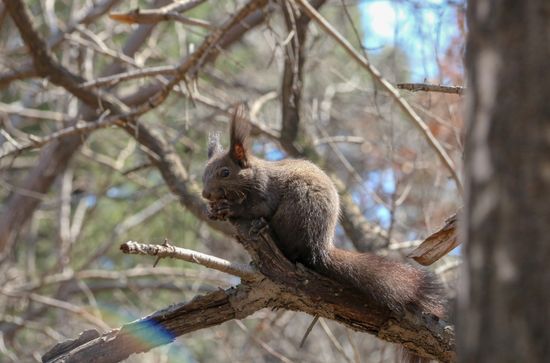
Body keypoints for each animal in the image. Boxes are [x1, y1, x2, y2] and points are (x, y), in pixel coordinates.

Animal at [203, 104, 448, 328]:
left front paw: (230, 209)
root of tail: (319, 248)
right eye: (204, 173)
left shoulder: (265, 190)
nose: (205, 194)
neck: (252, 176)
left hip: (298, 207)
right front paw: (212, 210)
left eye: (225, 172)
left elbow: (258, 208)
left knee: (291, 249)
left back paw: (267, 230)